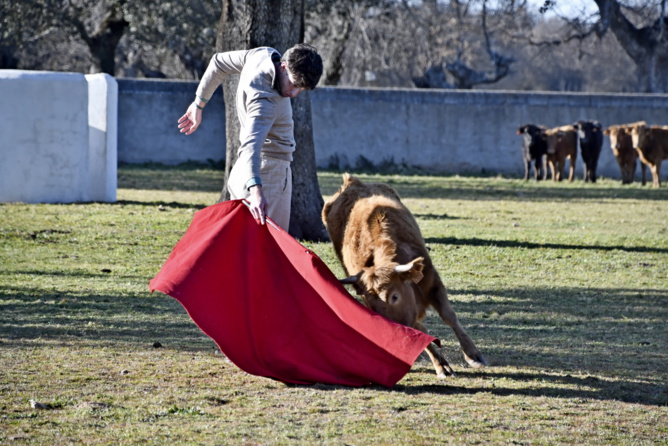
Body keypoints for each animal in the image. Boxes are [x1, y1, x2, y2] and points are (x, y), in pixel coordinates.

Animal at [322, 174, 486, 378]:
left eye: (394, 296)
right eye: (373, 307)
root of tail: (351, 184)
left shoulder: (433, 282)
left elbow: (449, 316)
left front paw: (473, 355)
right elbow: (419, 330)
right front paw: (441, 365)